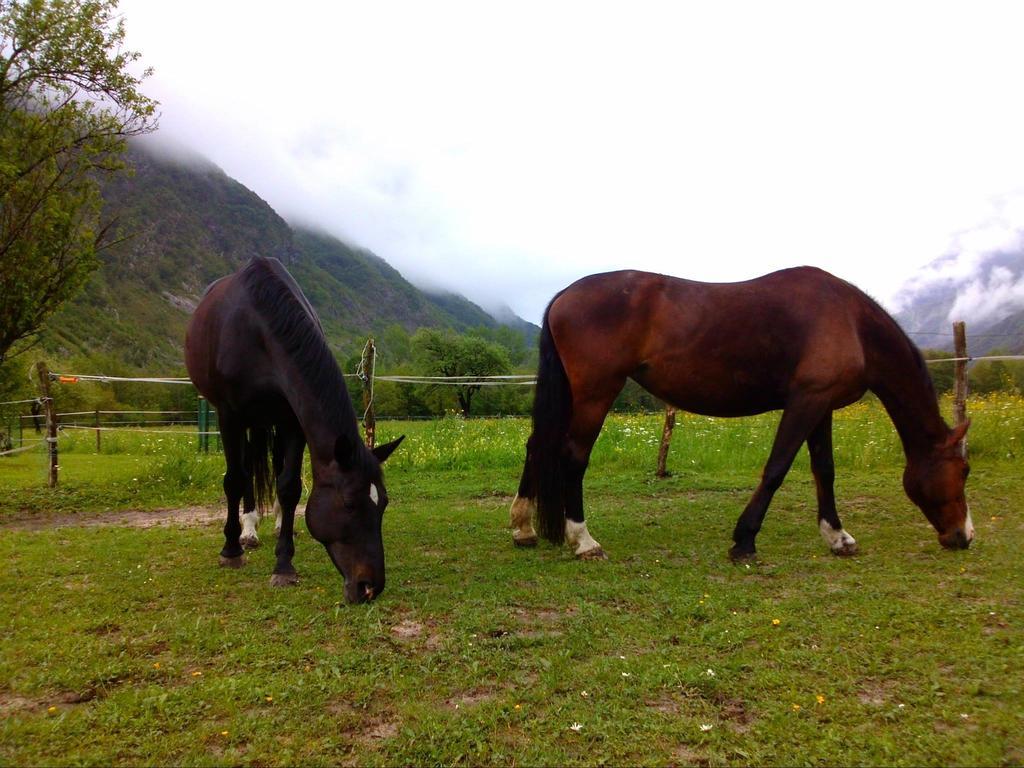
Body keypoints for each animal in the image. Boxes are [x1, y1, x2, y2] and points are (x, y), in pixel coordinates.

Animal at [186, 256, 401, 606]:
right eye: (349, 504)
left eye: (382, 504)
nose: (370, 587)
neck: (257, 327)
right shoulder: (229, 415)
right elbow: (234, 480)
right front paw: (230, 551)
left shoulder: (293, 419)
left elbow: (289, 487)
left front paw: (284, 564)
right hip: (247, 421)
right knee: (246, 470)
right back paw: (247, 531)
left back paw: (272, 523)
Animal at [512, 268, 974, 561]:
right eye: (964, 470)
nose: (963, 536)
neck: (850, 322)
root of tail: (564, 296)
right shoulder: (805, 402)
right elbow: (776, 469)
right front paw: (744, 540)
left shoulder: (820, 405)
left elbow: (824, 470)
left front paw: (838, 537)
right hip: (595, 393)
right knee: (573, 456)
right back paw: (583, 540)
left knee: (537, 445)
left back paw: (523, 528)